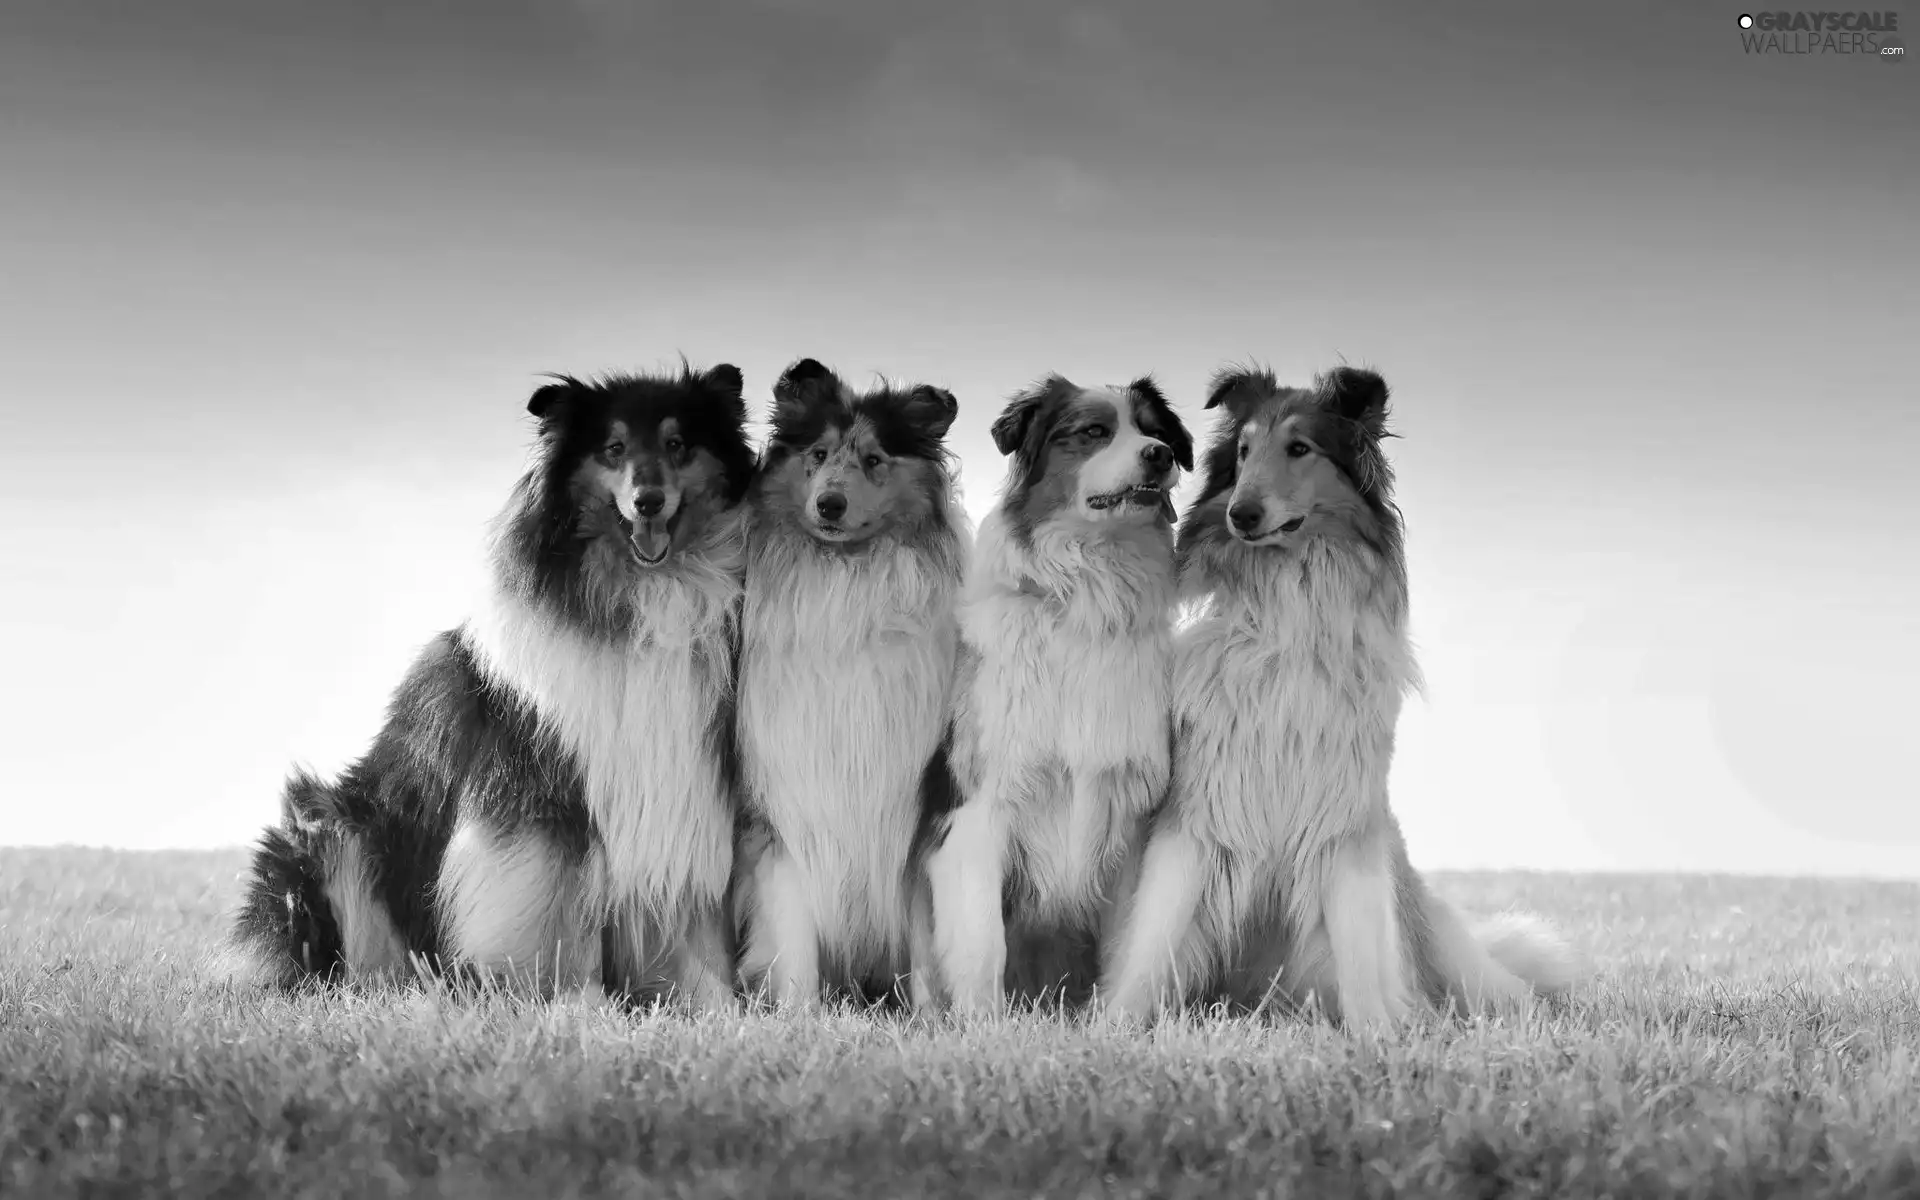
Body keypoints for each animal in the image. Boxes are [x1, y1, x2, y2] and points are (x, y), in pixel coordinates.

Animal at [226, 360, 756, 1006]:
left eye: (679, 445)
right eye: (613, 448)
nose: (648, 501)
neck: (644, 594)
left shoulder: (676, 787)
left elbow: (685, 920)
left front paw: (713, 1005)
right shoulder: (536, 793)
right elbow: (553, 911)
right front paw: (570, 1001)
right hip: (331, 828)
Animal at [733, 360, 975, 1006]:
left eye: (873, 459)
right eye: (818, 454)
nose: (830, 504)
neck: (846, 586)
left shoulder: (916, 814)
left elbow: (923, 944)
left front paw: (930, 1020)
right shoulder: (785, 810)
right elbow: (794, 945)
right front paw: (799, 1017)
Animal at [910, 372, 1190, 1013]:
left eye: (1156, 431)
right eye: (1093, 432)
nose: (1161, 456)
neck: (1089, 591)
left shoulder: (1127, 811)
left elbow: (1127, 947)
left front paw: (1113, 1022)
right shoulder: (979, 810)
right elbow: (982, 943)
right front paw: (984, 1025)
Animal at [1098, 364, 1574, 1029]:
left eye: (1300, 448)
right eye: (1243, 452)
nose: (1241, 514)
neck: (1288, 609)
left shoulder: (1344, 821)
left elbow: (1359, 944)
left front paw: (1377, 1029)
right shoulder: (1197, 813)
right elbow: (1156, 933)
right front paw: (1115, 1022)